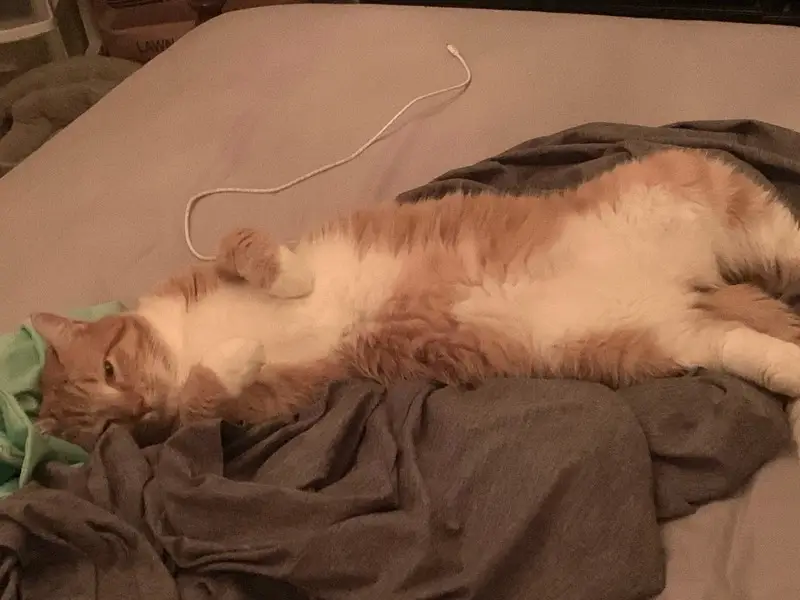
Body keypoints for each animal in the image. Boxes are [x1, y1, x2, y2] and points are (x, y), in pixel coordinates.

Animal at [31, 148, 800, 450]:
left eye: (110, 370)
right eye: (111, 428)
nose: (139, 407)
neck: (187, 336)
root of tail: (696, 282)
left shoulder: (221, 263)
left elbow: (241, 244)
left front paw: (289, 282)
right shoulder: (262, 406)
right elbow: (201, 399)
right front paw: (233, 354)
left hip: (715, 200)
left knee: (785, 243)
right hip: (669, 339)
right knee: (752, 343)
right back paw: (790, 375)